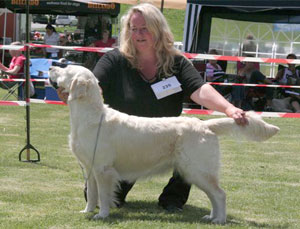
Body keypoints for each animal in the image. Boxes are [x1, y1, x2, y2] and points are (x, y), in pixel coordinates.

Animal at [48, 64, 278, 224]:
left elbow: (103, 196)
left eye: (66, 68)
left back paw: (219, 220)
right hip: (194, 171)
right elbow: (92, 194)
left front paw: (102, 215)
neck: (89, 116)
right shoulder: (91, 167)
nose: (50, 67)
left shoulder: (103, 169)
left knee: (220, 194)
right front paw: (87, 211)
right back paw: (211, 217)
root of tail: (205, 124)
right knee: (214, 195)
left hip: (197, 169)